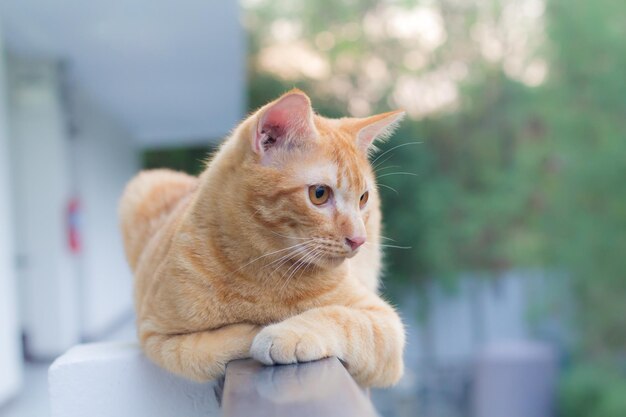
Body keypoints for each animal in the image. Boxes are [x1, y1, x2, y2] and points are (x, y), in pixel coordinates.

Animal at [119, 88, 404, 386]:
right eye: (319, 194)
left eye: (363, 198)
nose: (358, 239)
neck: (262, 270)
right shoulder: (156, 336)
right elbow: (208, 349)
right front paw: (258, 328)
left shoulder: (384, 324)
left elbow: (342, 318)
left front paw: (286, 332)